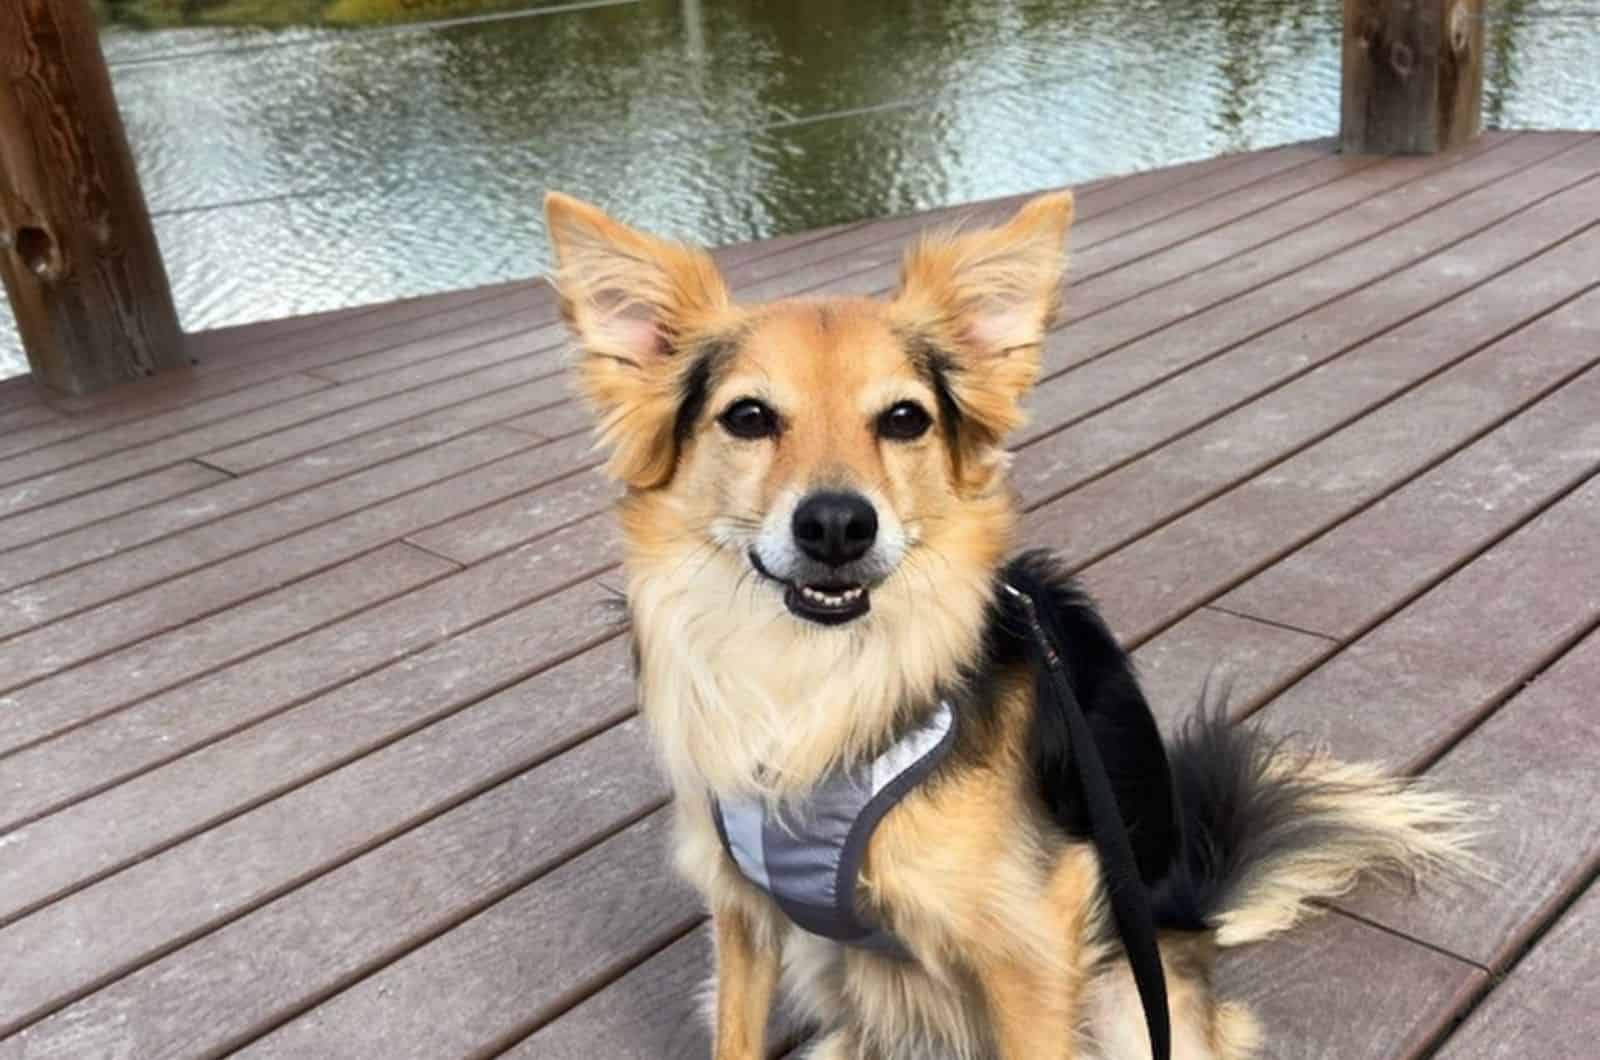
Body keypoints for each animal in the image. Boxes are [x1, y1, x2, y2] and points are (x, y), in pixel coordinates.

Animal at [544, 192, 1465, 1060]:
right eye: (748, 418)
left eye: (904, 419)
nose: (838, 525)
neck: (817, 677)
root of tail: (1190, 910)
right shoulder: (743, 913)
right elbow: (734, 1033)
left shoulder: (1032, 941)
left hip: (1123, 994)